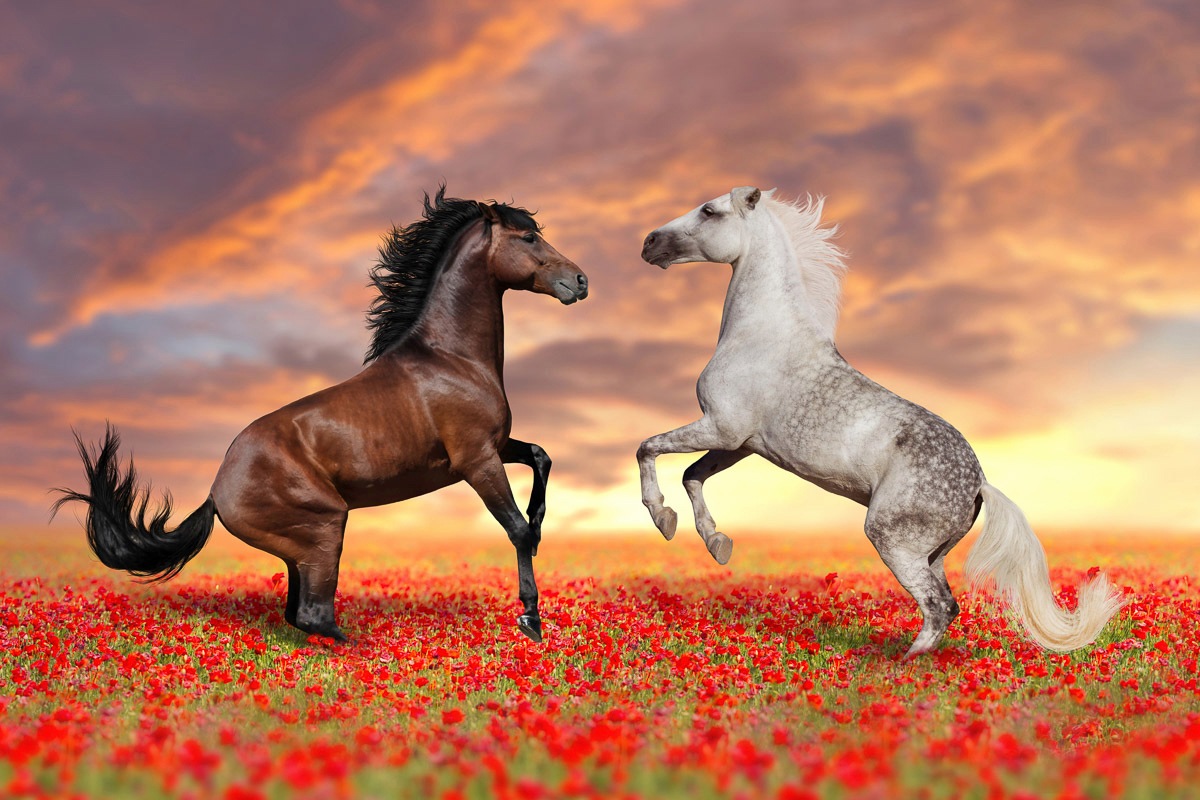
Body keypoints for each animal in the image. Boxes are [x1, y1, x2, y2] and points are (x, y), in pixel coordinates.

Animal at [52, 187, 589, 644]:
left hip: (304, 547)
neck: (450, 356)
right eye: (529, 237)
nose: (580, 281)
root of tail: (214, 492)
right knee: (314, 617)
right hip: (327, 527)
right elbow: (515, 529)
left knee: (300, 615)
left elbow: (540, 457)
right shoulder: (476, 460)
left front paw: (541, 522)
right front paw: (531, 619)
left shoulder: (496, 446)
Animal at [636, 187, 1124, 657]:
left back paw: (900, 663)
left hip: (892, 539)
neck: (763, 337)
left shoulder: (722, 427)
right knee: (947, 603)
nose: (649, 243)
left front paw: (662, 518)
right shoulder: (741, 443)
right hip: (931, 553)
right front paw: (716, 543)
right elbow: (692, 474)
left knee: (939, 605)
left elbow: (648, 447)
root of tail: (980, 484)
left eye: (709, 211)